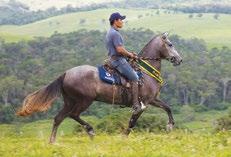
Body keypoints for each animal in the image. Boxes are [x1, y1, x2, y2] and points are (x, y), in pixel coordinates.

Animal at [16, 32, 182, 143]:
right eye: (170, 44)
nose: (179, 59)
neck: (145, 73)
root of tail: (66, 73)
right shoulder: (144, 103)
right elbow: (132, 122)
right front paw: (123, 137)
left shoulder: (152, 99)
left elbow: (167, 107)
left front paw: (170, 126)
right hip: (85, 100)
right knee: (73, 115)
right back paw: (90, 131)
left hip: (69, 101)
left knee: (59, 118)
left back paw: (52, 142)